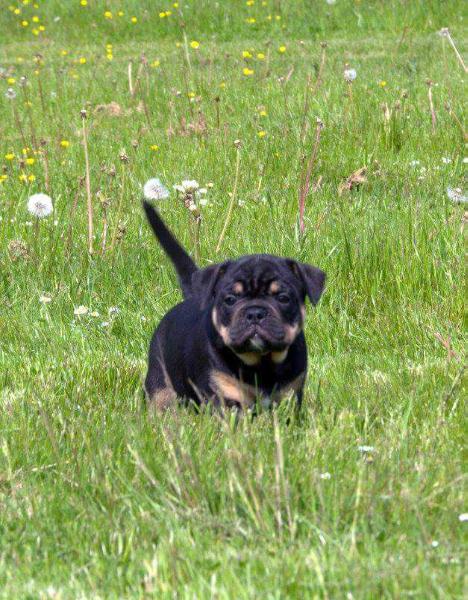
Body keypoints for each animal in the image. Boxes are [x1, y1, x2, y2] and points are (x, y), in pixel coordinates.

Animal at [143, 202, 326, 412]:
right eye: (230, 299)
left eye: (283, 298)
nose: (255, 313)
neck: (262, 363)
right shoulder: (223, 395)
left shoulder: (291, 394)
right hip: (160, 381)